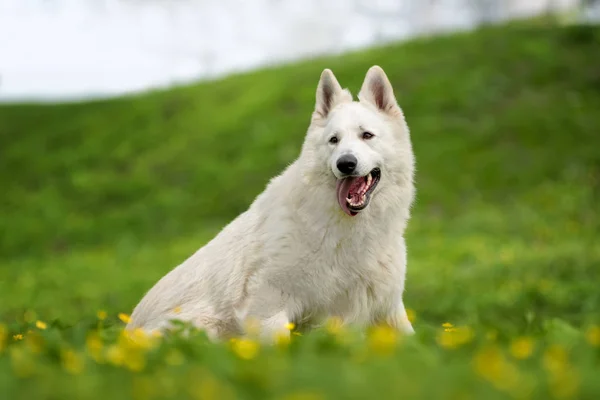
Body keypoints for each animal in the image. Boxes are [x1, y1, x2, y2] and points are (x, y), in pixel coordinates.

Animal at [126, 66, 414, 344]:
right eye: (334, 140)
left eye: (367, 135)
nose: (345, 163)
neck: (344, 231)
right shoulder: (268, 304)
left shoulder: (388, 308)